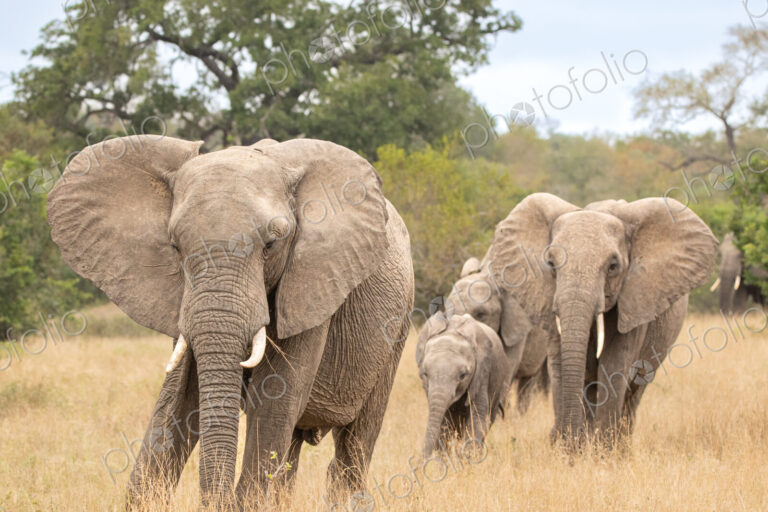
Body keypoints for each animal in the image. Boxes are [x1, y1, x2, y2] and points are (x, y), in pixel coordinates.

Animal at [47, 135, 414, 507]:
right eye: (175, 247)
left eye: (271, 244)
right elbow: (179, 397)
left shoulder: (312, 285)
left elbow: (274, 398)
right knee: (293, 448)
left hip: (398, 325)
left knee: (355, 443)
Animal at [416, 312, 512, 456]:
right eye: (425, 374)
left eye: (463, 375)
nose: (422, 459)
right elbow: (444, 421)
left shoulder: (482, 373)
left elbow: (477, 418)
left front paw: (469, 458)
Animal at [477, 193, 717, 447]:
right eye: (551, 264)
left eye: (613, 266)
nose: (554, 436)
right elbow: (560, 364)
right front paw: (570, 449)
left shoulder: (633, 303)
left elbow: (614, 366)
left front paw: (602, 450)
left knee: (634, 391)